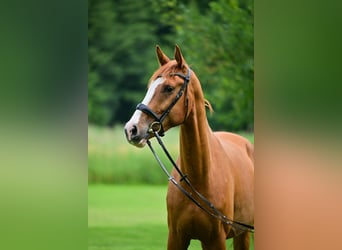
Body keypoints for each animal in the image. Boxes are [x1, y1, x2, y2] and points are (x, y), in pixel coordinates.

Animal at [124, 46, 252, 249]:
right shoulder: (176, 237)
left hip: (244, 234)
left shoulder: (215, 240)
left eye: (168, 88)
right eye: (149, 87)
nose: (131, 129)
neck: (199, 178)